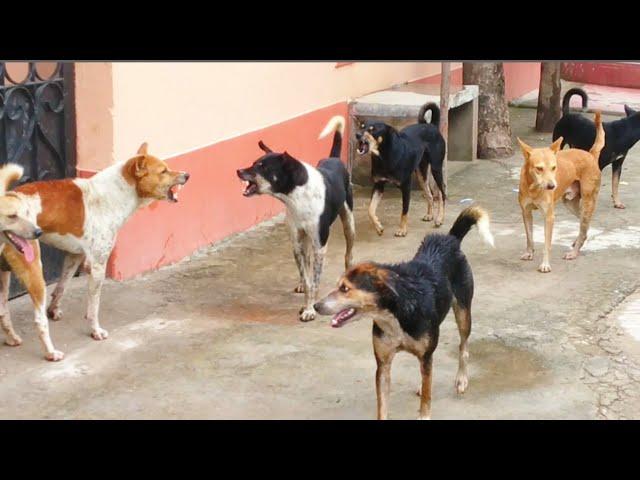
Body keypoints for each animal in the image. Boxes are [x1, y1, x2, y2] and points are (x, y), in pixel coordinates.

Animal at [236, 116, 356, 322]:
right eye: (254, 163)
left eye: (262, 167)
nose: (238, 171)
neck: (296, 196)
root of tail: (334, 158)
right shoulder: (297, 241)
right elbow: (307, 279)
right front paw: (307, 303)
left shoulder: (319, 245)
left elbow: (314, 281)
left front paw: (310, 309)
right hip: (305, 240)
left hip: (348, 222)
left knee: (348, 254)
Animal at [316, 206, 496, 420]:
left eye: (344, 288)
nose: (316, 306)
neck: (393, 314)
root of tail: (449, 239)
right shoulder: (383, 364)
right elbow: (384, 405)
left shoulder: (425, 353)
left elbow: (426, 398)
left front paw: (424, 415)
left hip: (463, 313)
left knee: (462, 348)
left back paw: (461, 379)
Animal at [356, 102, 444, 237]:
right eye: (361, 127)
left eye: (372, 130)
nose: (357, 135)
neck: (384, 156)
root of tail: (432, 126)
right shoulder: (378, 185)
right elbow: (370, 209)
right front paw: (378, 227)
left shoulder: (406, 186)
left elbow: (404, 211)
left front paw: (402, 230)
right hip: (421, 173)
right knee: (429, 194)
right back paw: (429, 215)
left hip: (436, 168)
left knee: (441, 192)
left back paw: (439, 218)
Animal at [516, 110, 604, 272]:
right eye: (539, 168)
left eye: (554, 167)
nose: (552, 186)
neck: (534, 188)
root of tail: (590, 154)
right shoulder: (526, 212)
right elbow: (529, 237)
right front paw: (529, 253)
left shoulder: (549, 217)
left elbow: (547, 244)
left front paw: (545, 264)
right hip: (571, 204)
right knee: (584, 227)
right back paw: (578, 242)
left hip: (588, 202)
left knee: (583, 227)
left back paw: (574, 252)